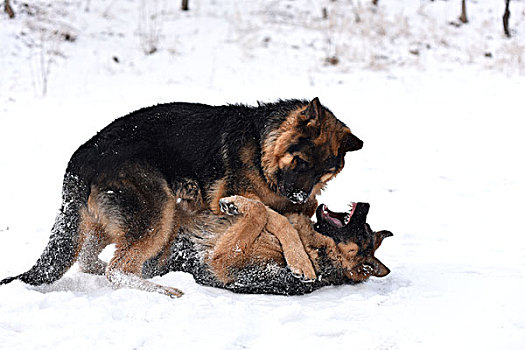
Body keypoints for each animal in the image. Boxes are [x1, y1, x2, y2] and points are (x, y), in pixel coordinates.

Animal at [0, 97, 362, 296]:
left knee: (91, 259)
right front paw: (301, 261)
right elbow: (274, 217)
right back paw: (163, 289)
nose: (298, 195)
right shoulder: (226, 204)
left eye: (325, 171)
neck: (262, 148)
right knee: (117, 269)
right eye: (300, 161)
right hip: (161, 209)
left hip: (107, 222)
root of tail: (79, 160)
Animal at [145, 183, 390, 296]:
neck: (316, 250)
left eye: (363, 232)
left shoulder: (223, 258)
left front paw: (235, 203)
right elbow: (268, 211)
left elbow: (261, 211)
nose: (366, 204)